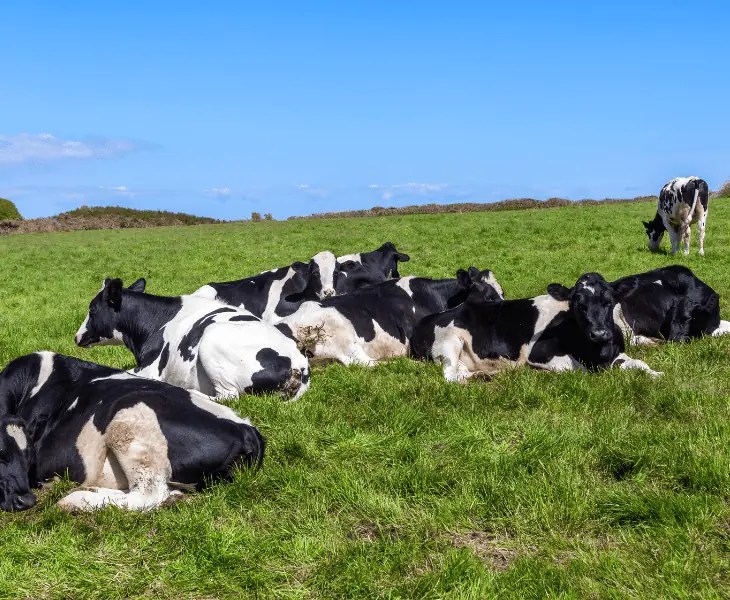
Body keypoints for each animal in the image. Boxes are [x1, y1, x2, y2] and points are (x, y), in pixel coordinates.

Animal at [0, 352, 264, 512]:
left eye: (28, 456)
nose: (26, 501)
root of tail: (245, 427)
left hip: (131, 421)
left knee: (148, 494)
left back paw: (77, 499)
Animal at [75, 278, 311, 400]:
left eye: (92, 309)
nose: (76, 337)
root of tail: (299, 363)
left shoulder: (150, 369)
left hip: (212, 340)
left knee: (228, 396)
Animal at [410, 272, 661, 382]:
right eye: (578, 304)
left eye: (609, 301)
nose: (599, 333)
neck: (596, 353)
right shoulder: (540, 353)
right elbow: (578, 369)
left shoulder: (617, 354)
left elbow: (640, 363)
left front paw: (656, 374)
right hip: (449, 344)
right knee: (451, 376)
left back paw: (485, 373)